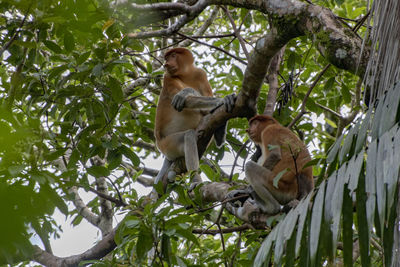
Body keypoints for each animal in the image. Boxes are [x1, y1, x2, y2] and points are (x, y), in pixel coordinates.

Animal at [152, 48, 234, 189]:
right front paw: (223, 99)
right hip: (168, 145)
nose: (166, 64)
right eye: (167, 58)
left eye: (173, 55)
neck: (186, 74)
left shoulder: (200, 74)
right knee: (188, 136)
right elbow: (186, 101)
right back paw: (196, 182)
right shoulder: (168, 78)